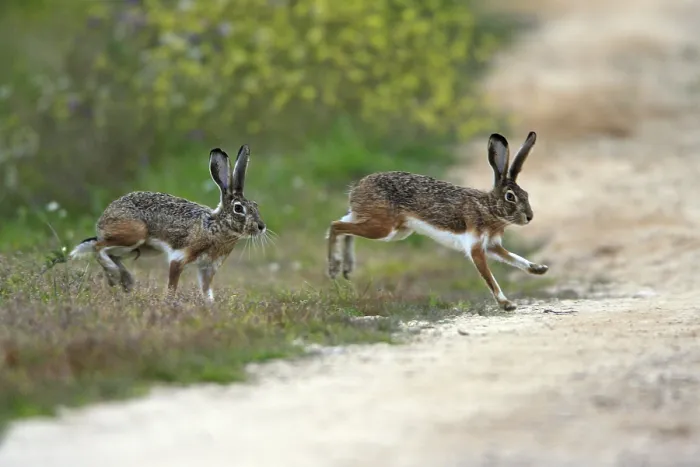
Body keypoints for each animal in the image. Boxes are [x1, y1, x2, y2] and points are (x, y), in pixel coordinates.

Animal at [69, 144, 266, 302]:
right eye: (238, 208)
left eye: (256, 205)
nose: (261, 227)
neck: (215, 227)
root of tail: (103, 219)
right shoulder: (179, 258)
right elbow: (172, 286)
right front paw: (170, 303)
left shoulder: (207, 268)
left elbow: (207, 292)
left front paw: (211, 308)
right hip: (135, 234)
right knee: (99, 247)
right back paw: (116, 275)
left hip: (141, 249)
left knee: (109, 252)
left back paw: (125, 281)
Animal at [326, 132, 548, 311]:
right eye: (510, 197)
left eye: (526, 194)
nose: (529, 217)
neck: (488, 208)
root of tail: (357, 189)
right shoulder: (476, 247)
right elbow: (489, 277)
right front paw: (506, 304)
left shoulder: (492, 245)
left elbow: (514, 257)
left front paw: (538, 269)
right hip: (384, 228)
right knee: (335, 226)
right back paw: (334, 267)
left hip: (392, 230)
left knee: (344, 225)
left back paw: (346, 267)